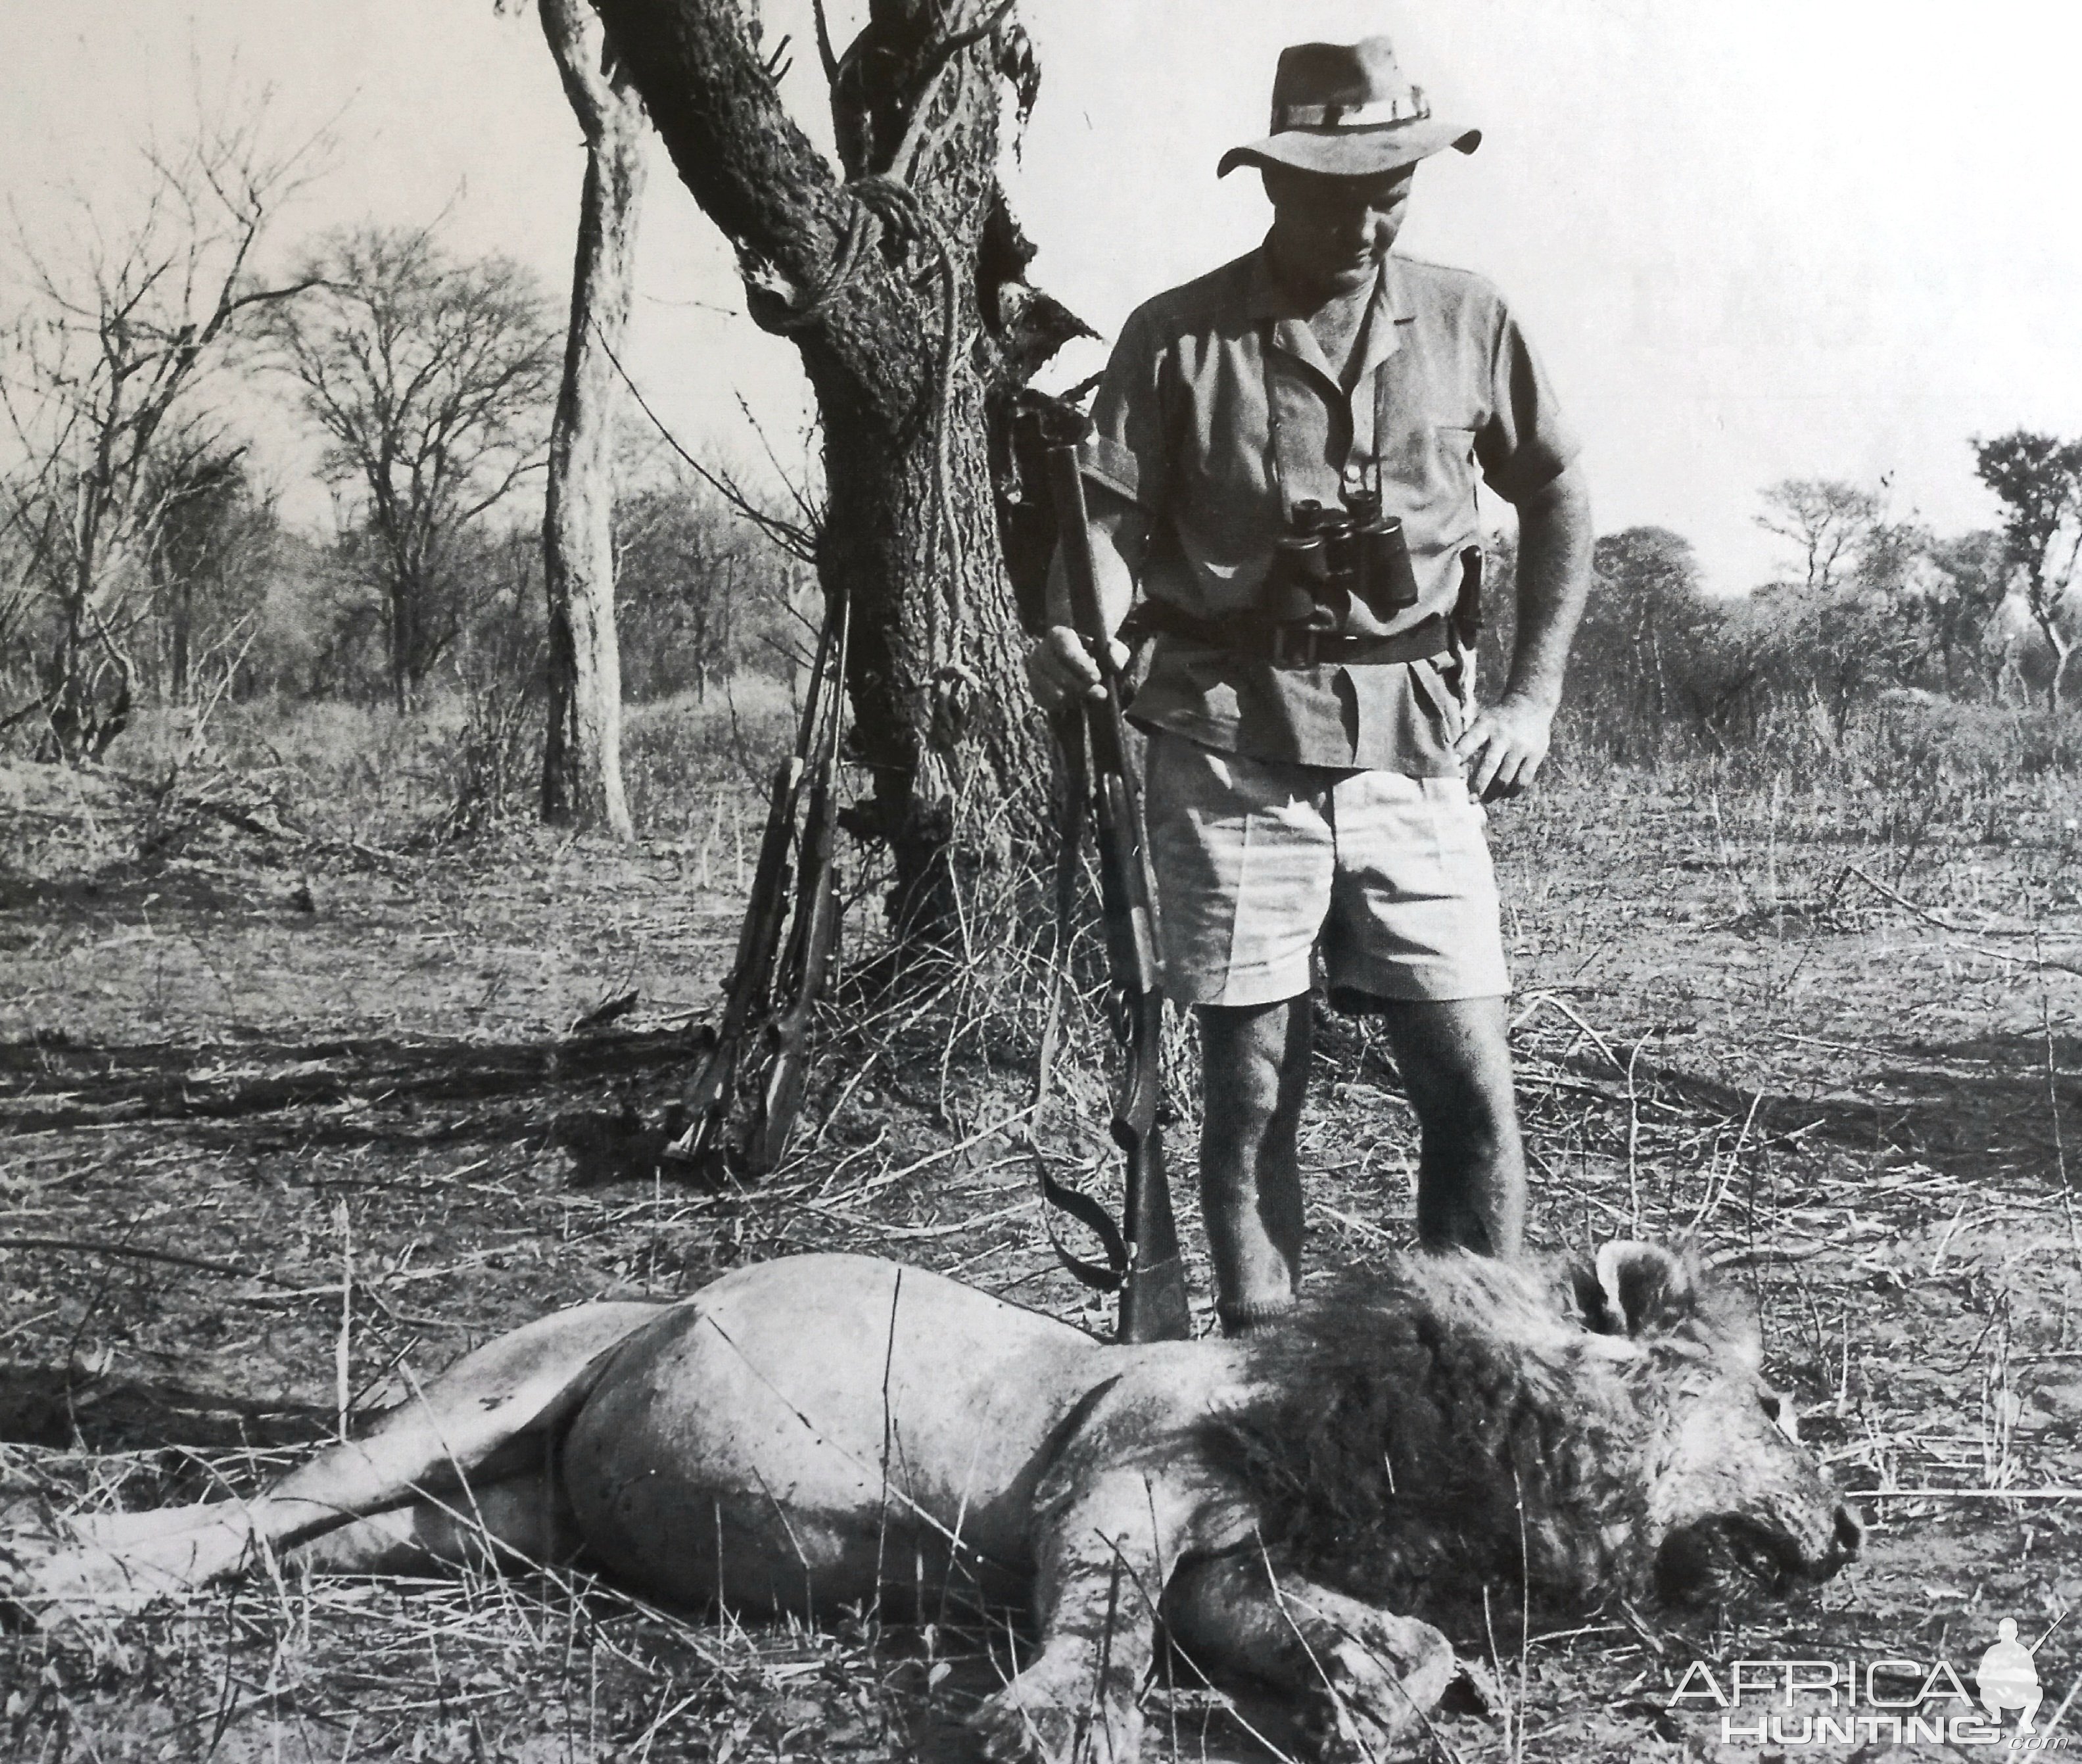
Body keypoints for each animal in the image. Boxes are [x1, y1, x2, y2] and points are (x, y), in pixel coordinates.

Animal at [0, 1249, 1857, 1757]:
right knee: (250, 1509)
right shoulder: (1118, 1469)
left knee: (322, 1543)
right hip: (488, 1390)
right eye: (1773, 1406)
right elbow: (1103, 1621)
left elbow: (1315, 1628)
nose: (1846, 1540)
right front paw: (1055, 1720)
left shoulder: (1235, 1552)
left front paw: (1394, 1686)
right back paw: (73, 1580)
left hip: (490, 1518)